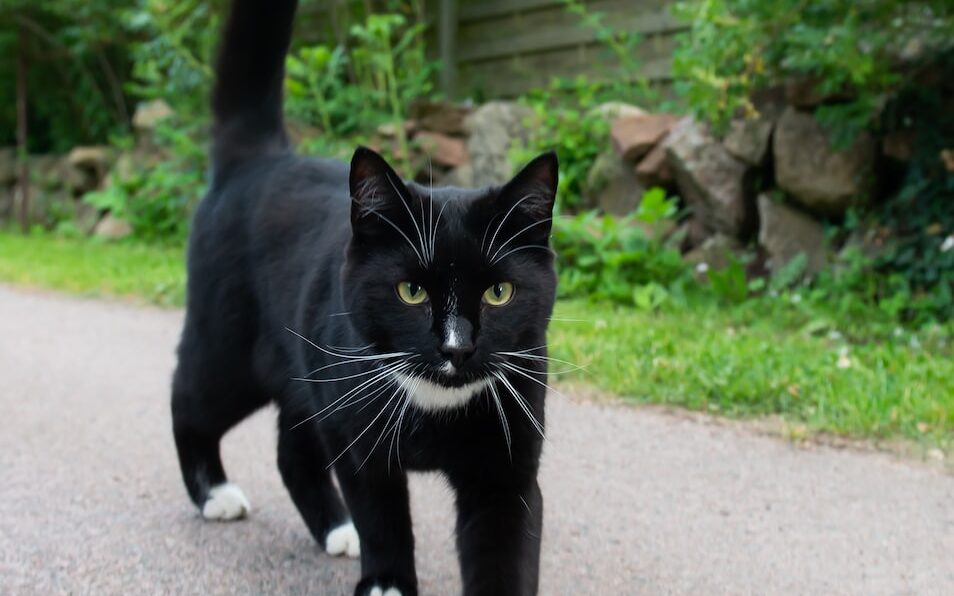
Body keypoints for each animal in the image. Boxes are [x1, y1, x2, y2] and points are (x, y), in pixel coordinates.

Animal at [172, 1, 556, 596]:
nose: (457, 348)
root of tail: (259, 159)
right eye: (411, 290)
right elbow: (382, 515)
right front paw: (387, 582)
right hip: (229, 348)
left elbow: (504, 548)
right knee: (188, 397)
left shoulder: (505, 464)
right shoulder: (358, 440)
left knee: (292, 450)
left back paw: (336, 530)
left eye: (499, 292)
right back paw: (215, 493)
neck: (434, 403)